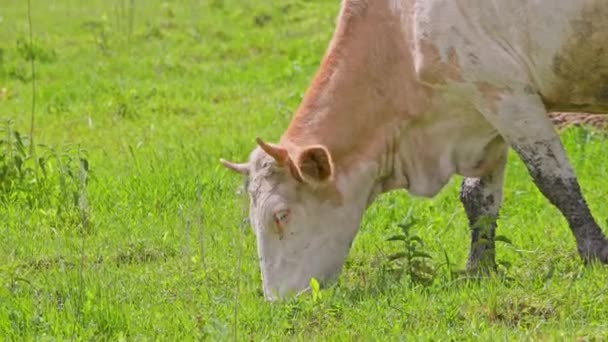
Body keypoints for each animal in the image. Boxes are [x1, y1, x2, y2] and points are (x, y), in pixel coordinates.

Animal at [220, 0, 608, 300]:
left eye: (281, 215)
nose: (278, 300)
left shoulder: (508, 95)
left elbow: (556, 183)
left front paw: (596, 255)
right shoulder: (481, 115)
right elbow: (478, 200)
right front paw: (478, 270)